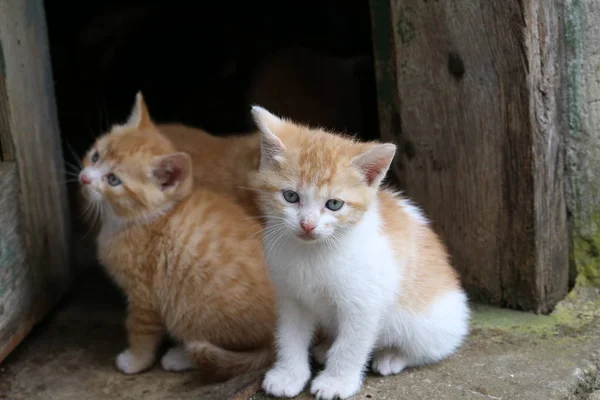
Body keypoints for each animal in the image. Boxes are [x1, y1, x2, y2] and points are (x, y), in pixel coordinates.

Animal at [77, 94, 276, 382]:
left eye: (113, 180)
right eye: (95, 156)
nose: (84, 178)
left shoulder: (144, 295)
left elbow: (140, 331)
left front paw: (135, 361)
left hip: (191, 310)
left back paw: (180, 356)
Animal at [251, 106, 472, 400]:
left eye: (334, 204)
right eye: (290, 196)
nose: (307, 224)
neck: (313, 252)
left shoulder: (364, 304)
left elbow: (351, 346)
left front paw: (337, 382)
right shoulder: (291, 299)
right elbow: (290, 337)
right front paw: (289, 375)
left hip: (426, 323)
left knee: (433, 347)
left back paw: (392, 356)